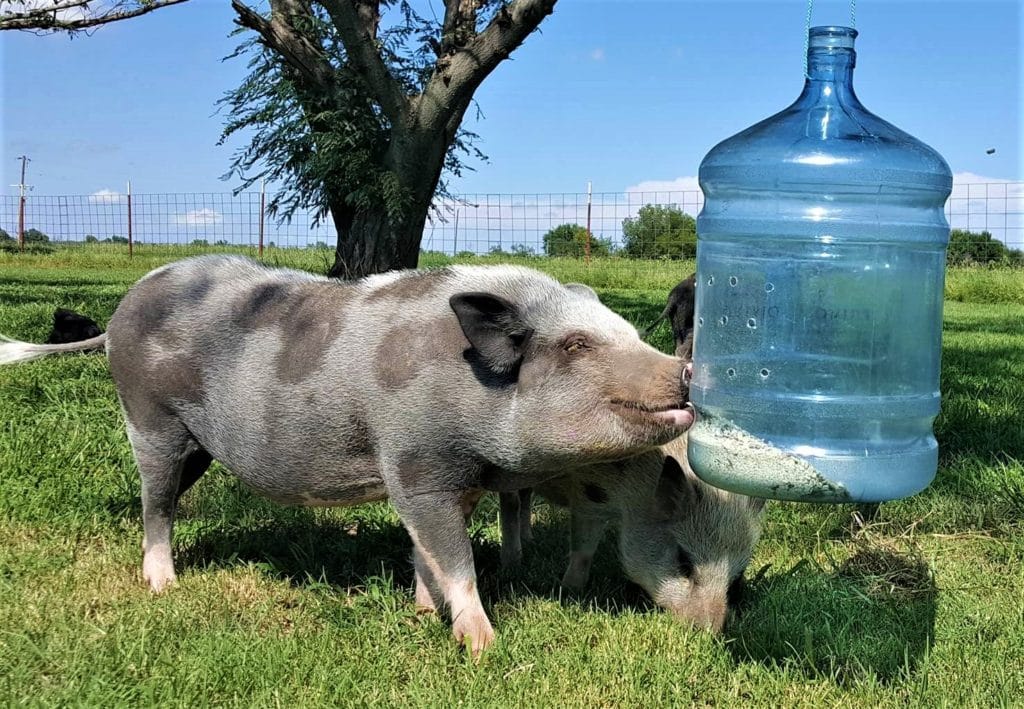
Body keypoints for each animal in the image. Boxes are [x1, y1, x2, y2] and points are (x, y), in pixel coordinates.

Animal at [2, 255, 696, 651]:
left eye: (629, 331)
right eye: (576, 345)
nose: (688, 372)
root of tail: (127, 303)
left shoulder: (445, 480)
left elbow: (425, 553)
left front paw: (422, 614)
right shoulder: (415, 462)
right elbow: (457, 560)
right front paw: (483, 647)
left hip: (199, 444)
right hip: (149, 419)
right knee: (157, 501)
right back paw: (162, 587)